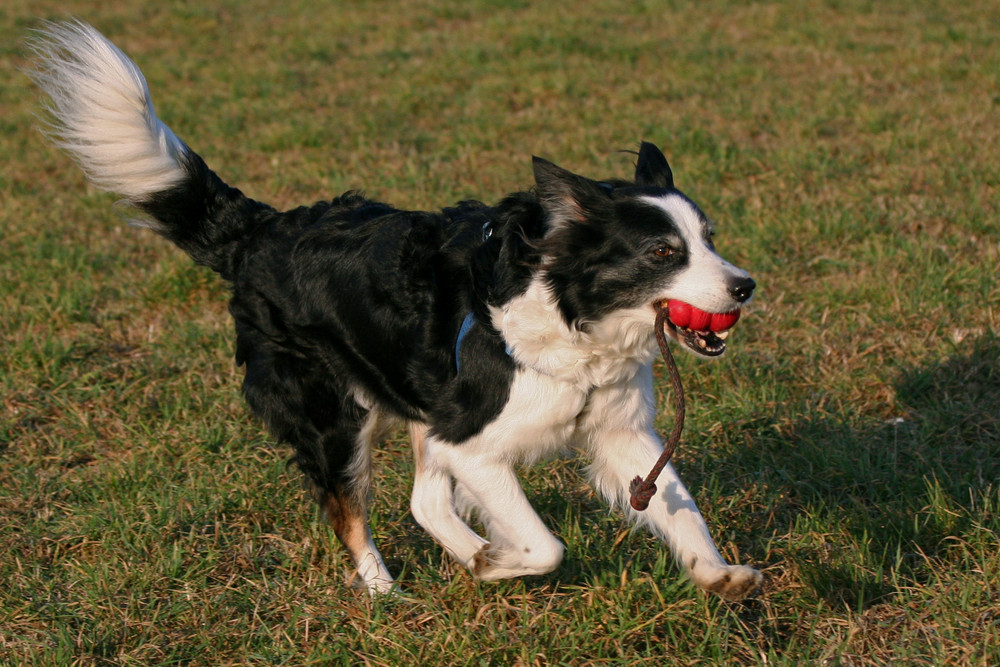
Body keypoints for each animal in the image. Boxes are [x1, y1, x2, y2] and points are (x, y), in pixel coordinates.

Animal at [33, 23, 764, 604]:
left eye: (710, 238)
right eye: (663, 251)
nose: (745, 286)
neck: (569, 317)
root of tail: (259, 231)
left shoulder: (615, 430)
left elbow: (680, 507)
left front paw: (718, 574)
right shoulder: (473, 440)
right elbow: (545, 543)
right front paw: (499, 562)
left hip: (413, 407)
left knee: (421, 499)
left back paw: (463, 554)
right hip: (335, 415)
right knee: (351, 510)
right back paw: (388, 591)